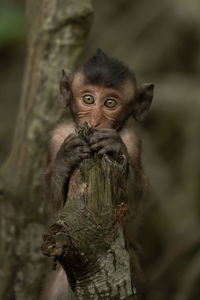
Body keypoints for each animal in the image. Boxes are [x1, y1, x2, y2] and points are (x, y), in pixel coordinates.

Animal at [44, 48, 154, 298]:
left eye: (110, 103)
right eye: (88, 99)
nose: (94, 121)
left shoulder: (134, 140)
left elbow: (132, 209)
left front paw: (115, 146)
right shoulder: (56, 136)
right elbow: (56, 215)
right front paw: (66, 156)